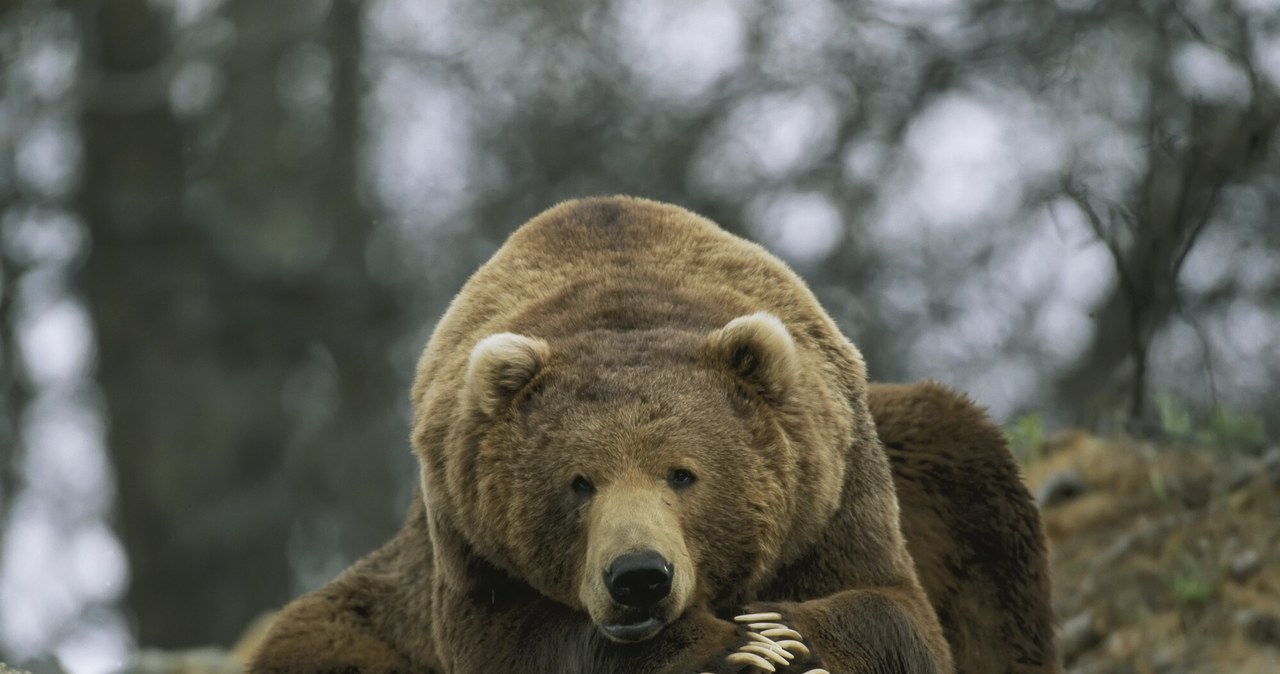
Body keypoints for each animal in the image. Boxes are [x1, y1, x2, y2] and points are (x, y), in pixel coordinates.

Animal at [249, 196, 1059, 674]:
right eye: (578, 482)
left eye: (683, 473)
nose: (639, 576)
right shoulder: (470, 540)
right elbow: (521, 642)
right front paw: (735, 645)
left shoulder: (834, 490)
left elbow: (897, 614)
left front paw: (780, 632)